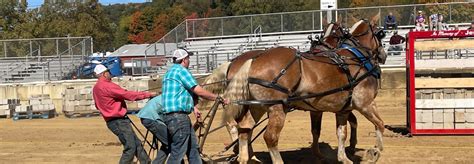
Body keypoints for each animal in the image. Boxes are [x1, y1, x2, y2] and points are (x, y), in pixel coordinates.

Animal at [220, 13, 386, 164]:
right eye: (381, 34)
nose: (383, 55)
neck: (356, 57)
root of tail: (251, 61)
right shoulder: (364, 103)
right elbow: (380, 124)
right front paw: (375, 151)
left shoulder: (342, 109)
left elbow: (341, 132)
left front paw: (343, 157)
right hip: (276, 107)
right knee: (269, 137)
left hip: (257, 106)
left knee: (244, 129)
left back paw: (244, 157)